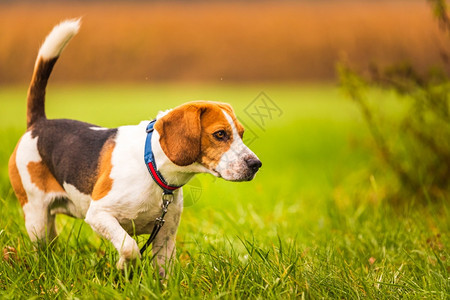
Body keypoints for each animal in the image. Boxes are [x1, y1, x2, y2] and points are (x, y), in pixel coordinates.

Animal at [7, 19, 262, 276]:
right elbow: (129, 247)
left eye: (241, 134)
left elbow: (163, 272)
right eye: (220, 134)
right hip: (36, 215)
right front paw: (123, 266)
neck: (153, 167)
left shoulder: (165, 237)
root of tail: (39, 123)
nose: (256, 164)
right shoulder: (99, 214)